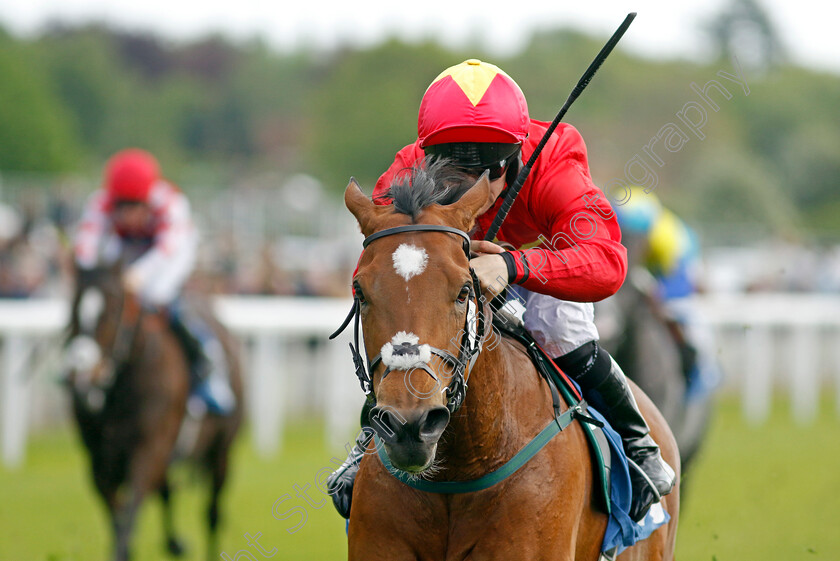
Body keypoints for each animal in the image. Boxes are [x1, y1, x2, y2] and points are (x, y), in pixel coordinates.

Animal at [65, 262, 243, 560]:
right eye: (73, 310)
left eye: (111, 311)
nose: (81, 380)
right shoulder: (100, 463)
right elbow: (118, 519)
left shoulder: (146, 451)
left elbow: (129, 517)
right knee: (167, 491)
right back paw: (174, 543)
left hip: (221, 449)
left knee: (212, 513)